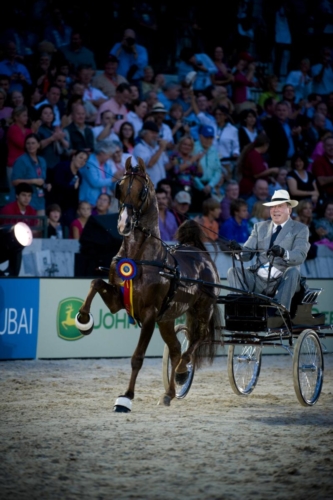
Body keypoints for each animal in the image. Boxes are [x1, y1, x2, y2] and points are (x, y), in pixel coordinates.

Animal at [75, 158, 220, 412]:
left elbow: (137, 357)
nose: (124, 224)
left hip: (202, 309)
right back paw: (169, 393)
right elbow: (95, 282)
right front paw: (83, 321)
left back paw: (182, 371)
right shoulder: (119, 301)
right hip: (167, 319)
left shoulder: (150, 314)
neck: (140, 256)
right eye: (119, 187)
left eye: (142, 191)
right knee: (175, 348)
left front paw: (126, 397)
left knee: (198, 338)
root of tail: (201, 255)